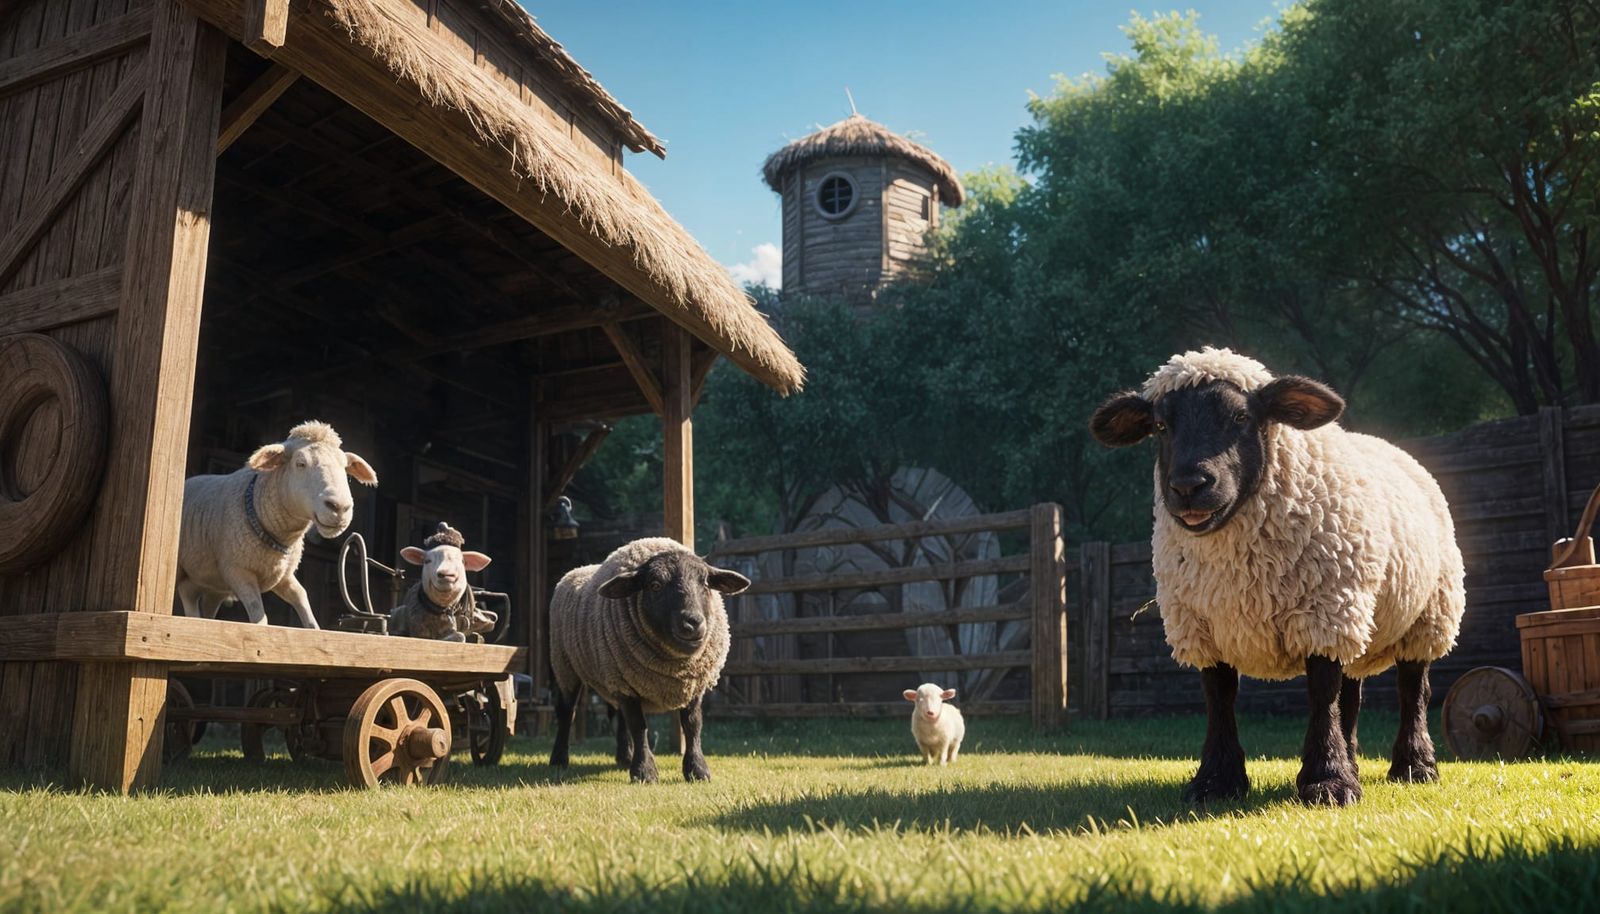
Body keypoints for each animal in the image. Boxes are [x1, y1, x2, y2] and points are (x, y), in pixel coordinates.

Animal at [176, 421, 377, 629]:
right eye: (300, 464)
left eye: (345, 467)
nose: (339, 507)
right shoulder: (237, 571)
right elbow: (260, 617)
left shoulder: (283, 576)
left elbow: (302, 597)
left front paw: (313, 627)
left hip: (213, 584)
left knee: (198, 602)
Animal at [548, 537, 750, 783]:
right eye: (655, 585)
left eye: (705, 583)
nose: (693, 622)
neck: (677, 666)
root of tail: (576, 570)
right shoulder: (626, 685)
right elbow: (639, 726)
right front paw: (644, 772)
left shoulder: (693, 684)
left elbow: (692, 724)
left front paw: (697, 770)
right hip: (564, 665)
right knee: (566, 711)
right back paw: (559, 759)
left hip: (613, 675)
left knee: (620, 717)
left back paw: (625, 757)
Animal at [1089, 347, 1464, 807]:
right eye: (1160, 425)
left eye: (1240, 417)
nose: (1188, 486)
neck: (1240, 570)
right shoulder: (1204, 627)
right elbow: (1219, 698)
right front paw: (1216, 782)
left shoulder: (1324, 613)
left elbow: (1321, 694)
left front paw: (1327, 782)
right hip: (1360, 613)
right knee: (1352, 695)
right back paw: (1356, 760)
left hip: (1429, 614)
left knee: (1413, 690)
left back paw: (1414, 767)